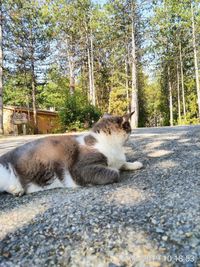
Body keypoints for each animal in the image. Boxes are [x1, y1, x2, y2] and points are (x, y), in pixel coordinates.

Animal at [0, 112, 142, 198]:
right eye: (128, 126)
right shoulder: (81, 168)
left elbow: (123, 163)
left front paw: (135, 164)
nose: (131, 130)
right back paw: (16, 189)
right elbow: (114, 172)